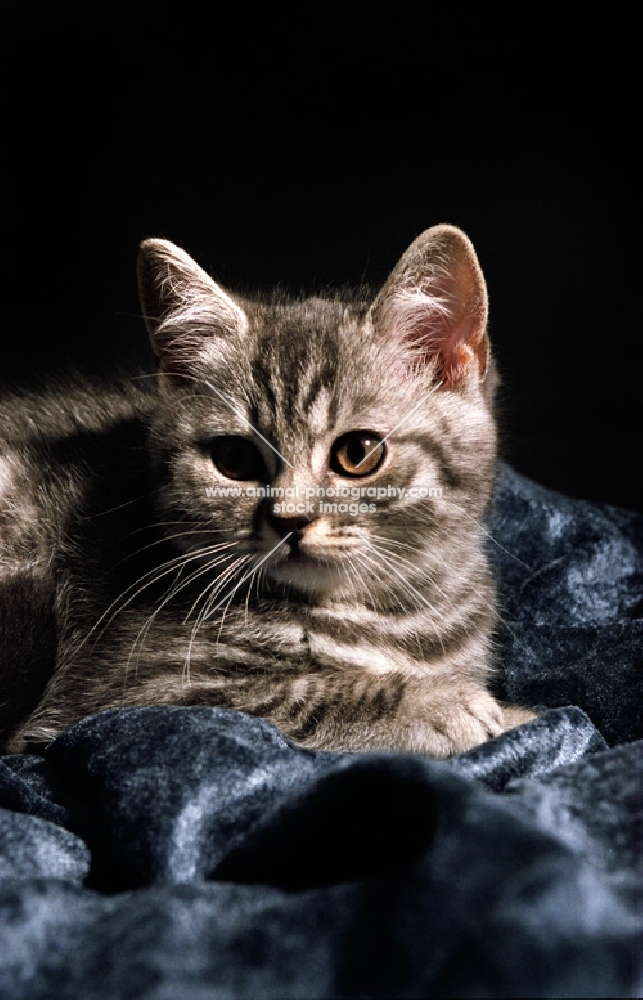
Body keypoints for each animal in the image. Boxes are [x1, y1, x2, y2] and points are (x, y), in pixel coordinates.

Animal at [0, 225, 532, 752]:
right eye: (235, 460)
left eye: (358, 453)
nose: (290, 520)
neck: (379, 614)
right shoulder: (138, 688)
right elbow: (297, 694)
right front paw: (439, 705)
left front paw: (509, 713)